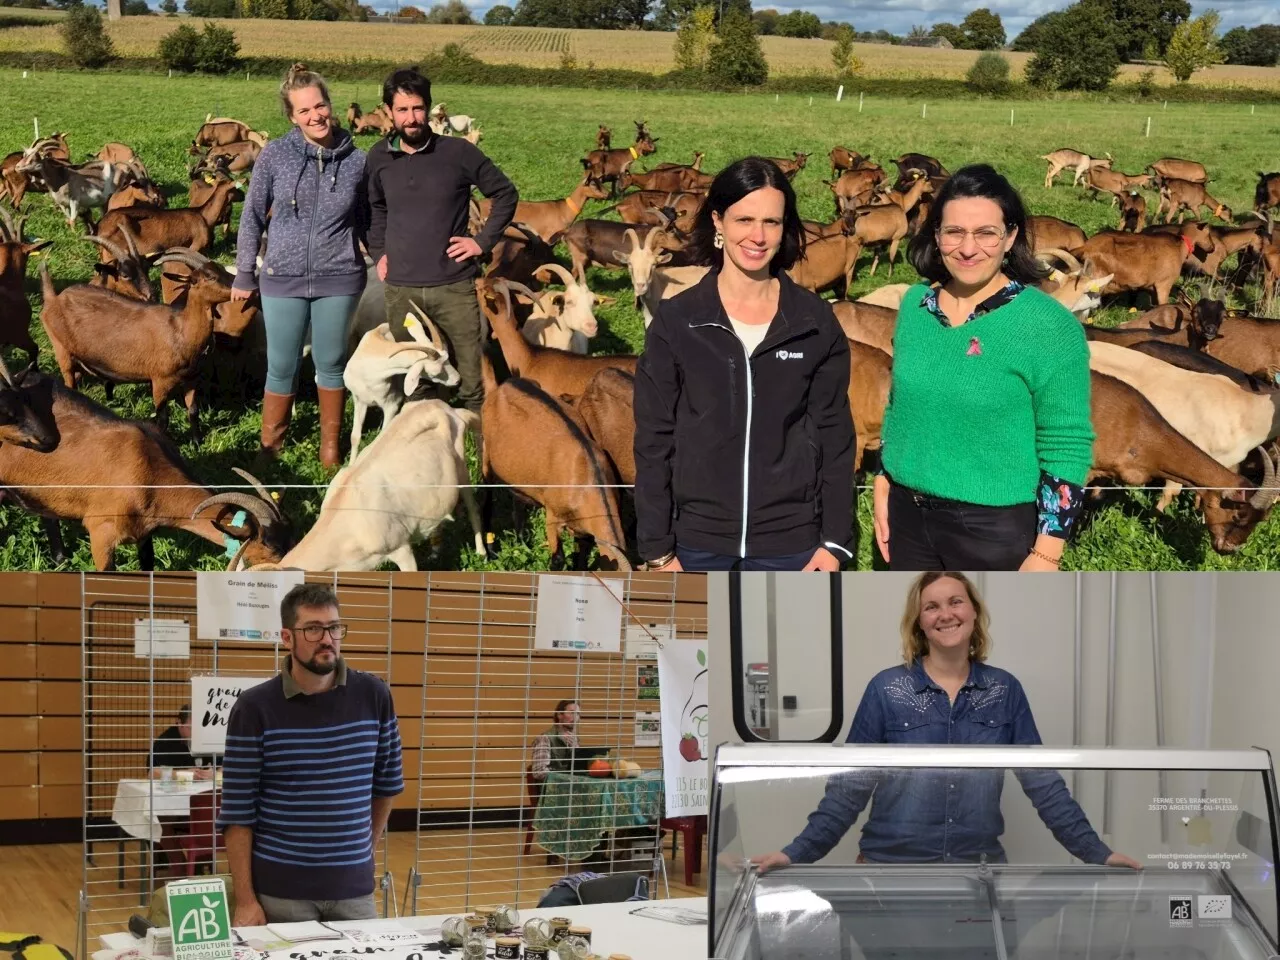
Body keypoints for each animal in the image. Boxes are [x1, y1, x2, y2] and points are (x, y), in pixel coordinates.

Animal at [343, 312, 463, 465]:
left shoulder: (391, 405)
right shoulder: (359, 400)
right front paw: (351, 465)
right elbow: (355, 437)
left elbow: (381, 437)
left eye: (447, 358)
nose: (458, 379)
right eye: (435, 372)